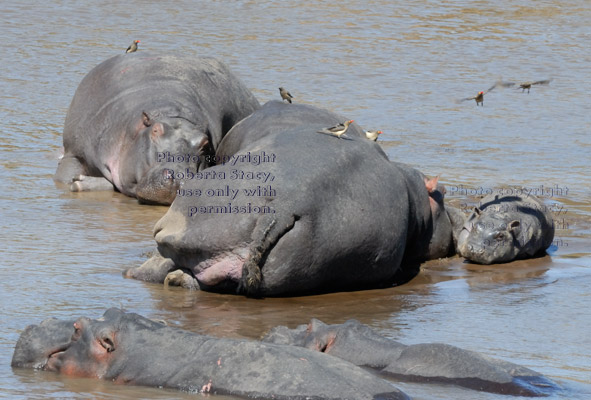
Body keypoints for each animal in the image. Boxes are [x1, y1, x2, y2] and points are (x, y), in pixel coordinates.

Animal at [55, 52, 260, 205]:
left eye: (204, 144)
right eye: (155, 131)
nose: (179, 178)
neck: (172, 115)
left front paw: (80, 183)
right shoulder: (76, 152)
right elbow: (63, 179)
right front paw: (76, 183)